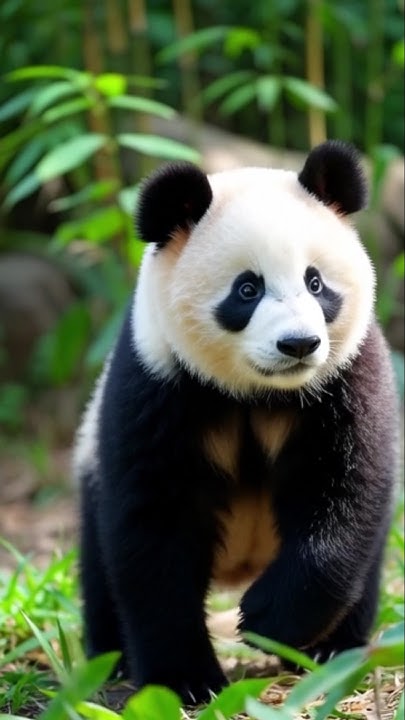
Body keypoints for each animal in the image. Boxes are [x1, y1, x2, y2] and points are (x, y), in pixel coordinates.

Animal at [74, 141, 399, 705]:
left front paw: (269, 620)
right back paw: (110, 658)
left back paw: (333, 649)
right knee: (100, 563)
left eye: (316, 282)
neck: (260, 394)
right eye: (247, 290)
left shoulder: (347, 376)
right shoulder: (158, 382)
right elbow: (154, 529)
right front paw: (184, 679)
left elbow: (344, 495)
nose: (298, 344)